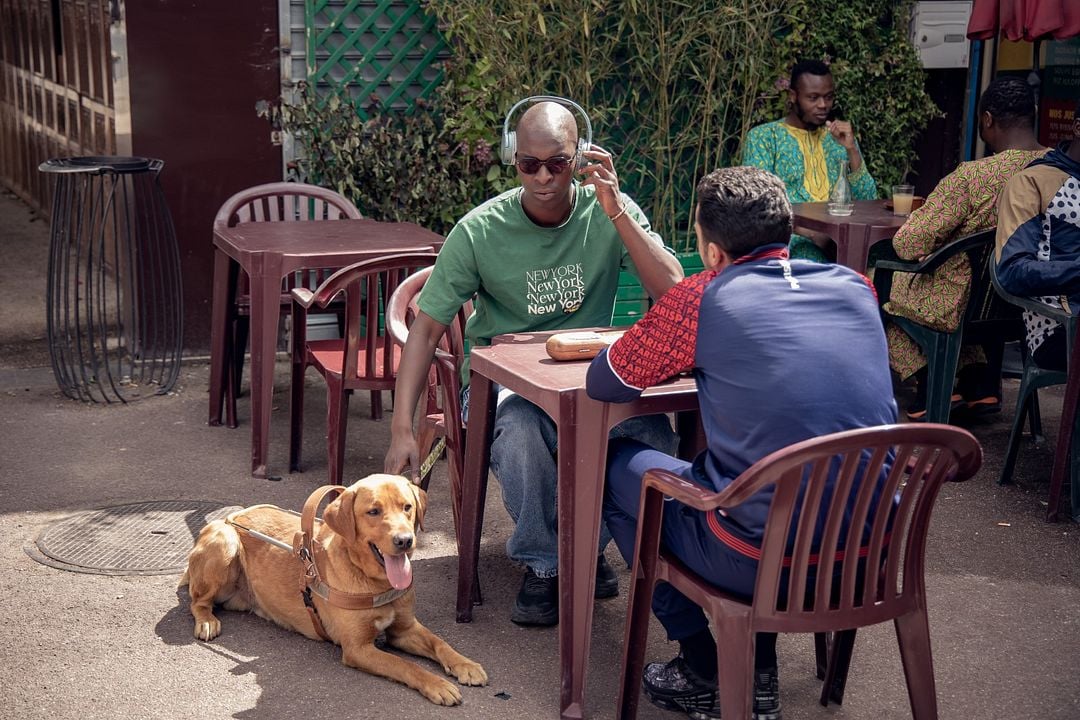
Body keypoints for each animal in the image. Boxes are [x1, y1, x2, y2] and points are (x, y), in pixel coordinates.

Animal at [180, 474, 486, 708]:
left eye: (407, 507)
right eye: (373, 511)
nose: (405, 540)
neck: (375, 581)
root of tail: (231, 516)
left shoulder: (405, 629)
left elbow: (439, 643)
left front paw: (465, 664)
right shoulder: (358, 648)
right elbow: (404, 665)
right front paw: (438, 684)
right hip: (225, 541)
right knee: (197, 601)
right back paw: (206, 621)